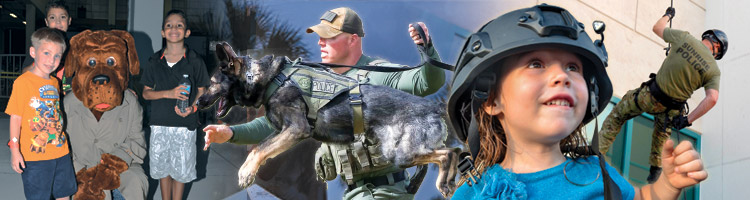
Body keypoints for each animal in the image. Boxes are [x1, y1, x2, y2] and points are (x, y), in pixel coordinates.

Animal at [198, 42, 458, 197]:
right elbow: (259, 147)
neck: (269, 79)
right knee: (452, 152)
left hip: (400, 153)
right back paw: (448, 182)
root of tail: (434, 108)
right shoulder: (282, 130)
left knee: (447, 153)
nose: (198, 102)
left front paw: (245, 172)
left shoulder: (296, 129)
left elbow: (259, 150)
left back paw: (444, 181)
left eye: (212, 82)